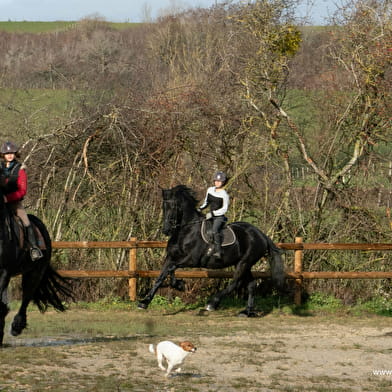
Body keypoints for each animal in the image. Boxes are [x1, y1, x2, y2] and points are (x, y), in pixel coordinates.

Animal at [139, 184, 284, 316]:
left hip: (244, 262)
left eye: (174, 206)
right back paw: (247, 311)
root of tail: (261, 235)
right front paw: (144, 302)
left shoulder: (191, 260)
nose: (166, 230)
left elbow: (171, 269)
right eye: (163, 206)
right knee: (251, 285)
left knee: (235, 283)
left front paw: (179, 285)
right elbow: (161, 276)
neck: (185, 231)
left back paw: (212, 303)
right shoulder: (170, 257)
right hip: (243, 264)